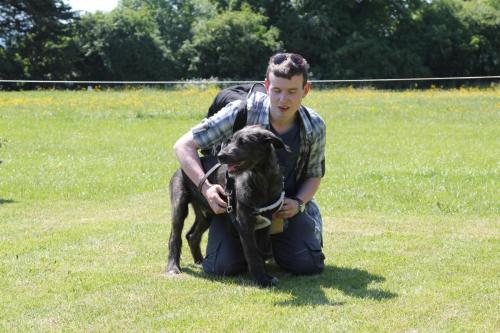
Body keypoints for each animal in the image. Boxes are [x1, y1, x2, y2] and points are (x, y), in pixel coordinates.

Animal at [166, 124, 288, 286]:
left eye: (243, 142)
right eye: (231, 140)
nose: (220, 156)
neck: (262, 179)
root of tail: (180, 168)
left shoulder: (266, 222)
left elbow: (260, 251)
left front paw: (265, 276)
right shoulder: (244, 223)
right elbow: (253, 253)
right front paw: (261, 279)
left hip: (207, 213)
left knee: (192, 235)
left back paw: (200, 261)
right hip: (180, 206)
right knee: (175, 237)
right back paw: (173, 267)